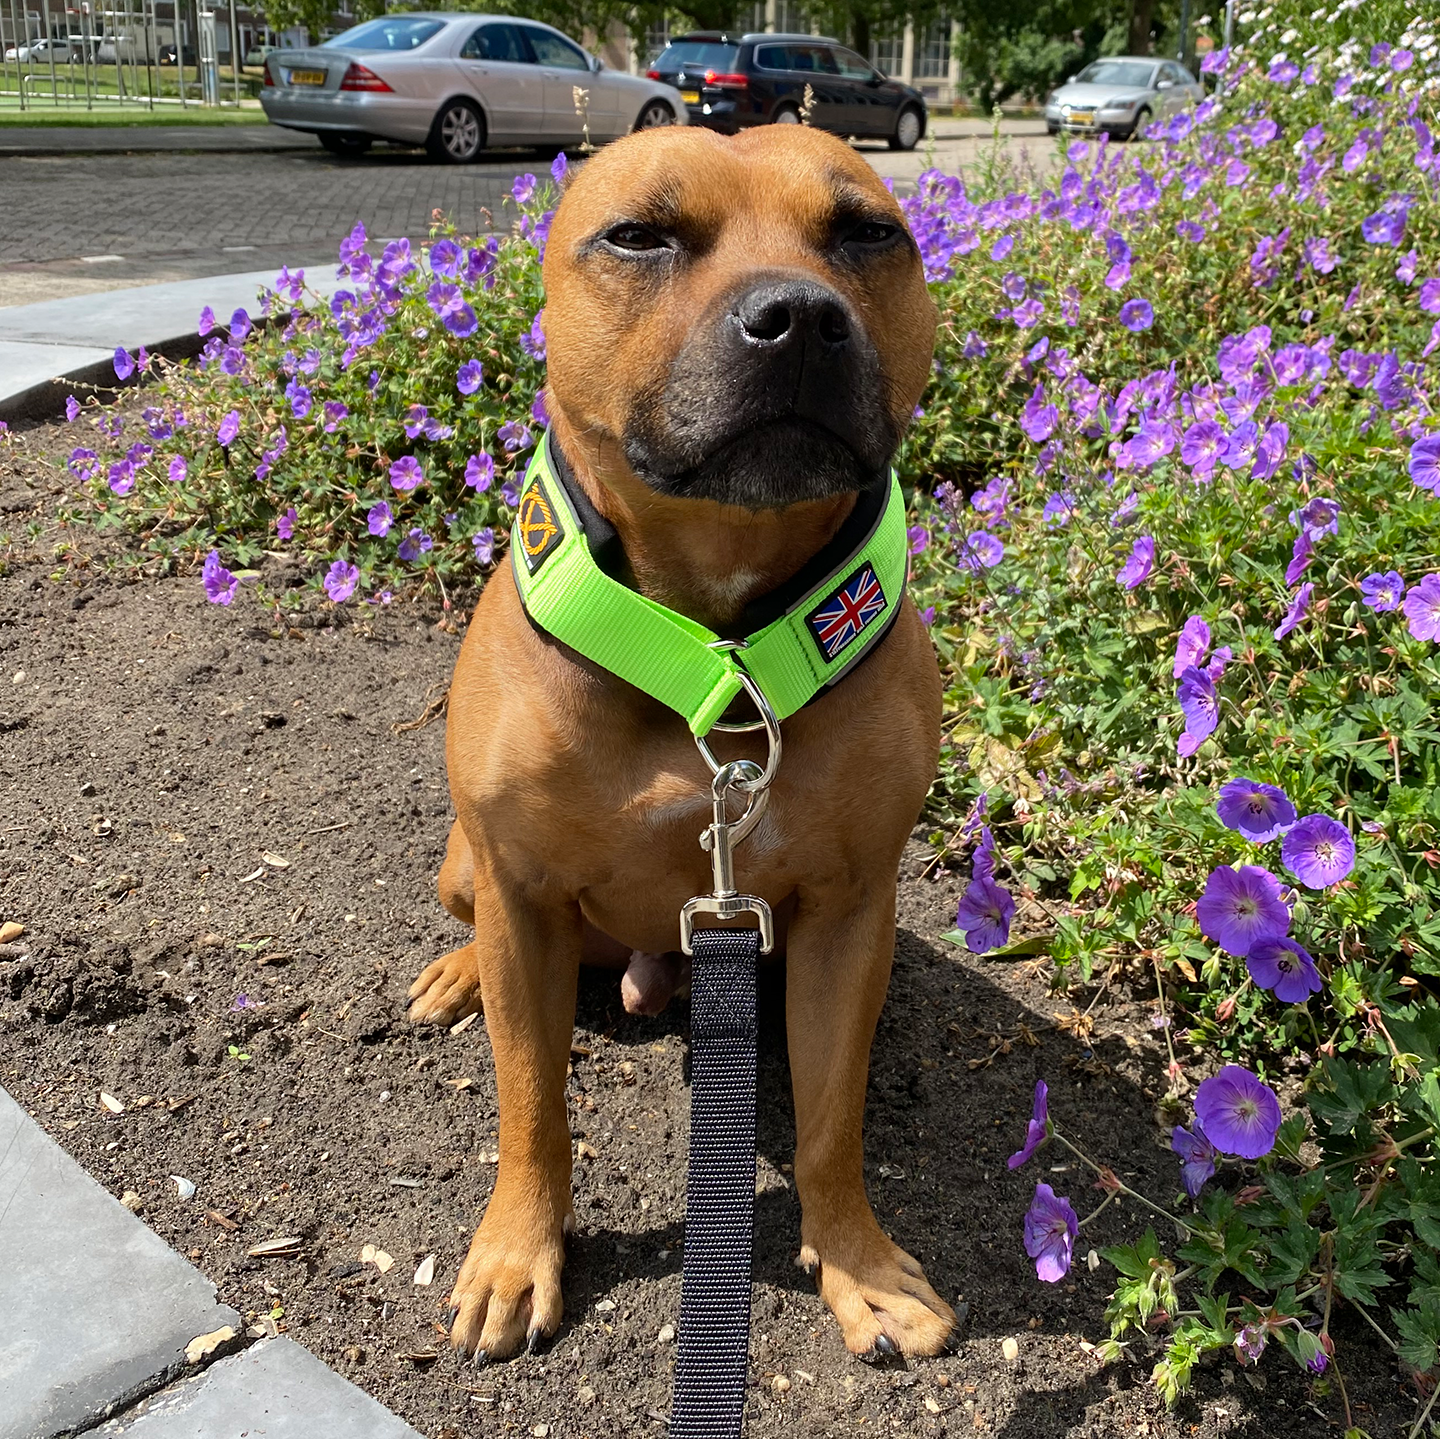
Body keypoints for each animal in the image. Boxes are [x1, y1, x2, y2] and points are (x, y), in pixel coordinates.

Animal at [406, 120, 950, 1359]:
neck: (717, 642)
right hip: (469, 865)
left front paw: (855, 1262)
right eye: (638, 235)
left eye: (867, 231)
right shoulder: (519, 890)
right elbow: (532, 1102)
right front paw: (516, 1252)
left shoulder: (849, 910)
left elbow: (832, 1122)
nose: (797, 316)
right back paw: (455, 976)